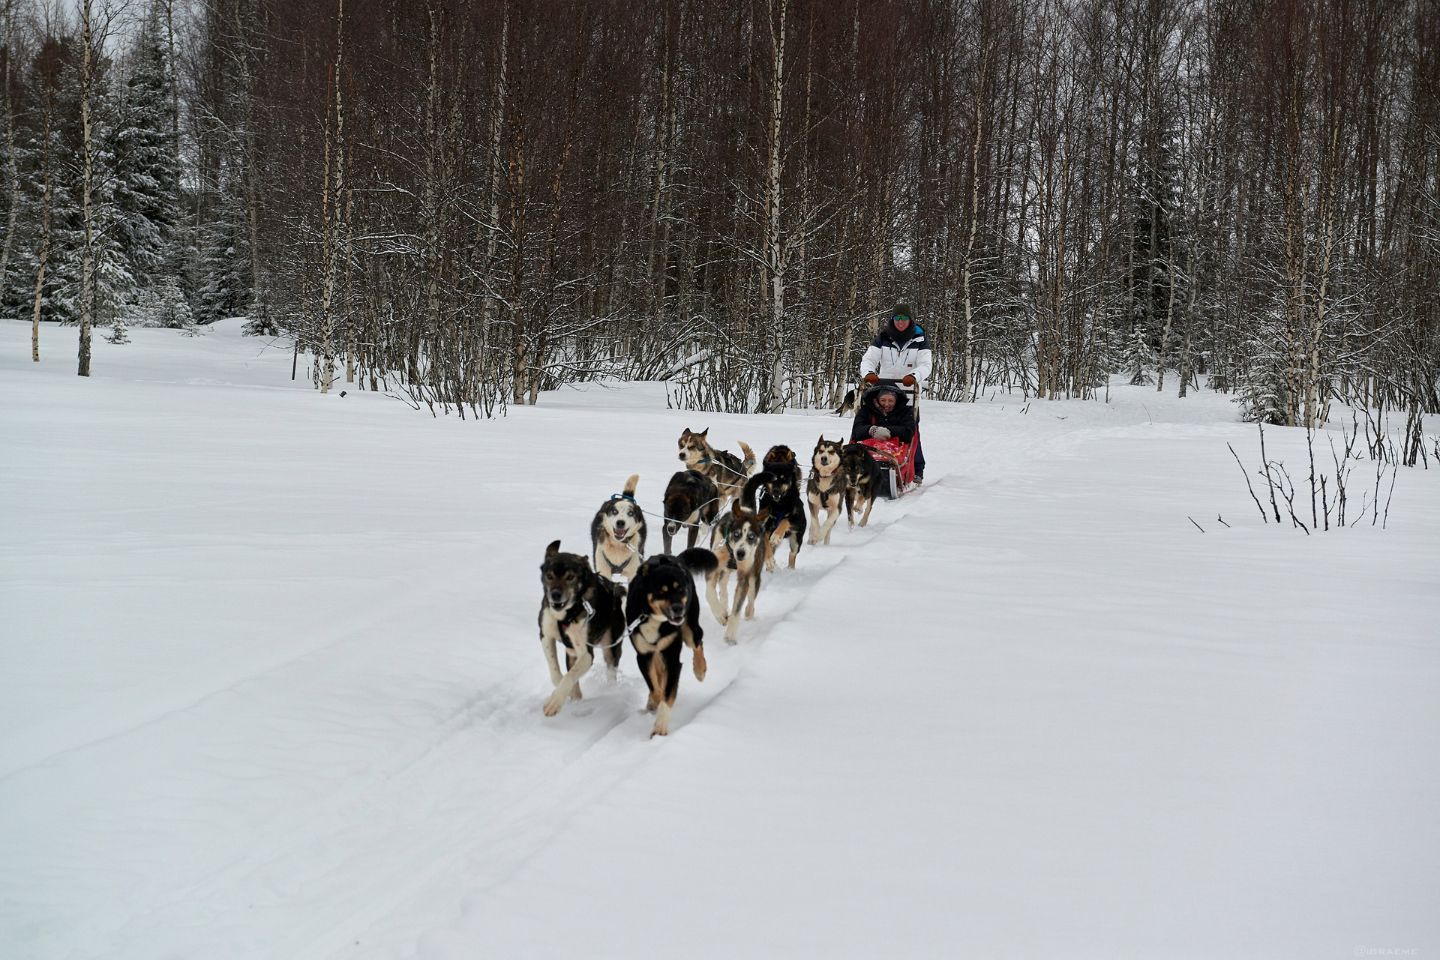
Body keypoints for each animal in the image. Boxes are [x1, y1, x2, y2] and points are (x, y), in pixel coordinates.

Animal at [627, 546, 720, 736]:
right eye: (661, 591)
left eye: (680, 589)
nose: (678, 608)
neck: (654, 619)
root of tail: (675, 558)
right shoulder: (644, 655)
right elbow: (655, 688)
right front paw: (653, 702)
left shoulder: (671, 658)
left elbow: (666, 693)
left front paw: (660, 728)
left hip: (690, 627)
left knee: (698, 641)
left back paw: (699, 669)